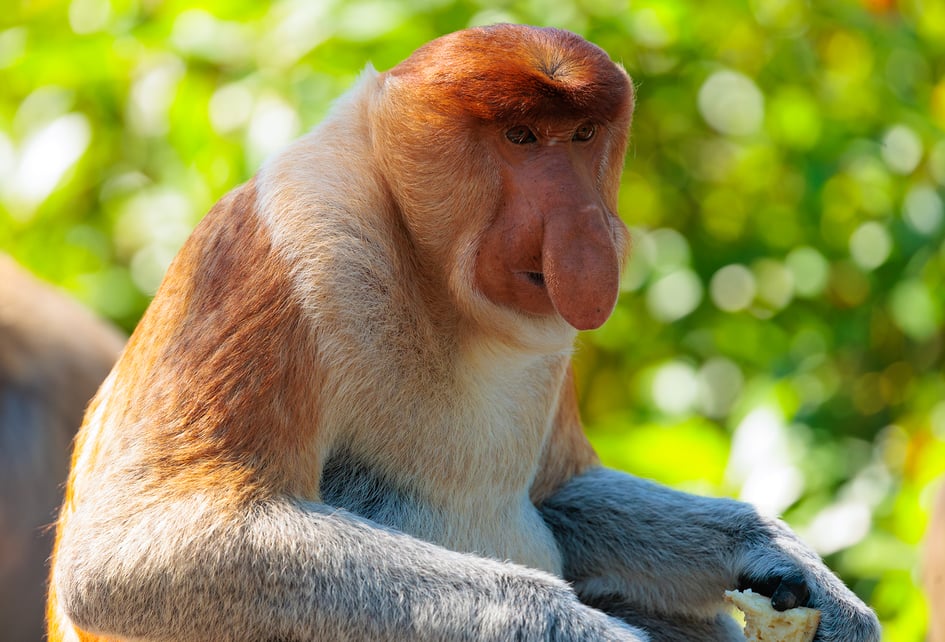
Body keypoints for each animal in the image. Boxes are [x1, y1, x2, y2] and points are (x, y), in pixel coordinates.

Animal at [48, 24, 881, 641]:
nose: (588, 229)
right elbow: (137, 554)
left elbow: (561, 493)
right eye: (519, 137)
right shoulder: (279, 246)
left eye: (582, 135)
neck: (442, 295)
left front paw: (790, 566)